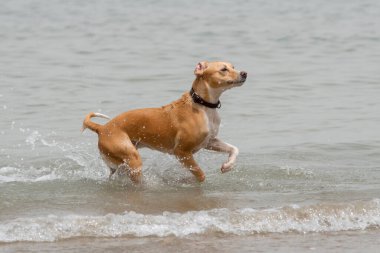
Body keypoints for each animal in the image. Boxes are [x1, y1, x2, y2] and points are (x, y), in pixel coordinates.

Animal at [82, 61, 246, 184]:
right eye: (223, 69)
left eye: (233, 66)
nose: (244, 73)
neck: (203, 105)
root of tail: (102, 128)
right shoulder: (181, 152)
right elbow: (200, 174)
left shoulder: (209, 141)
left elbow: (234, 149)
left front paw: (228, 165)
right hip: (132, 159)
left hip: (119, 163)